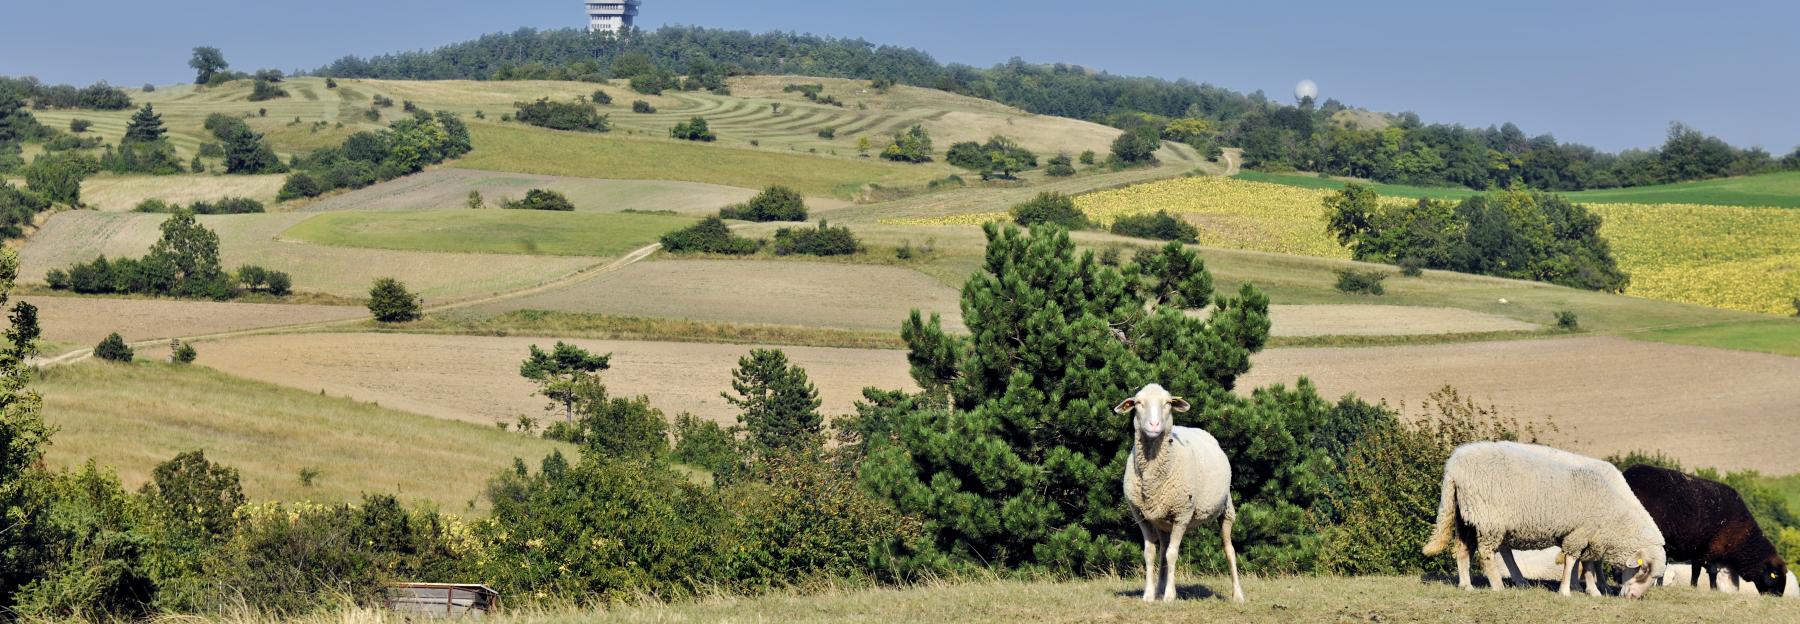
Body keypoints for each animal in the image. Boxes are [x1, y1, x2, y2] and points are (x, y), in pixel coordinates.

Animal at [1108, 383, 1238, 604]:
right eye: (1138, 403)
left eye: (1168, 403)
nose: (1154, 425)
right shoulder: (1142, 517)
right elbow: (1150, 553)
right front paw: (1149, 595)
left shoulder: (1182, 515)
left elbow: (1172, 554)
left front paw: (1170, 595)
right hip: (1162, 520)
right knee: (1162, 551)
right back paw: (1159, 589)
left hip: (1225, 508)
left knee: (1229, 548)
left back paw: (1238, 595)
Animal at [1425, 442, 1663, 600]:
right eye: (1644, 570)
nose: (1633, 598)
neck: (1612, 513)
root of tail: (1453, 466)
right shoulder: (1580, 534)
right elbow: (1572, 561)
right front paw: (1568, 590)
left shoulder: (1587, 535)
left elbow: (1585, 563)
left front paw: (1591, 590)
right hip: (1489, 518)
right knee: (1486, 554)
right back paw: (1498, 585)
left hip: (1467, 517)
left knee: (1463, 550)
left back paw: (1467, 586)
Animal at [1627, 463, 1792, 597]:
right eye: (1776, 575)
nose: (1777, 598)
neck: (1742, 537)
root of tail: (1629, 473)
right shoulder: (1712, 549)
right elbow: (1712, 572)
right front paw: (1714, 590)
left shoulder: (1699, 550)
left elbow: (1696, 572)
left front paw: (1693, 588)